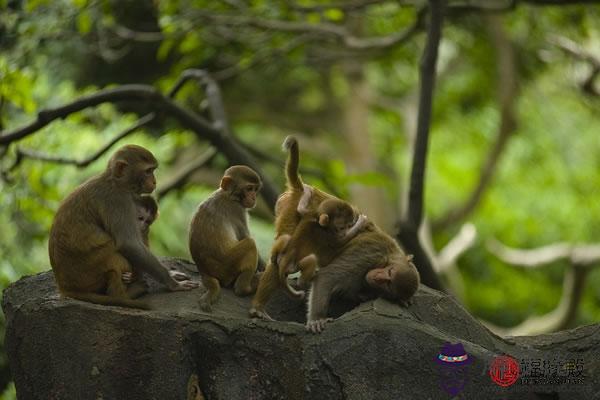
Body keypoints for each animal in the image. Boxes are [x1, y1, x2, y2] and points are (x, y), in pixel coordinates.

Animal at [49, 144, 198, 310]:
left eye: (153, 170)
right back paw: (126, 294)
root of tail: (65, 288)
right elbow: (129, 244)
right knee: (114, 256)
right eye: (148, 171)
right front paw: (173, 284)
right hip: (88, 275)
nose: (154, 182)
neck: (115, 182)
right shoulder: (118, 201)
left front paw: (171, 274)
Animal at [189, 164, 262, 310]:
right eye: (249, 188)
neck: (228, 194)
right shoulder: (238, 210)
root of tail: (204, 271)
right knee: (250, 244)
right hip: (228, 266)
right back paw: (244, 288)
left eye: (255, 189)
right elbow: (245, 236)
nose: (253, 198)